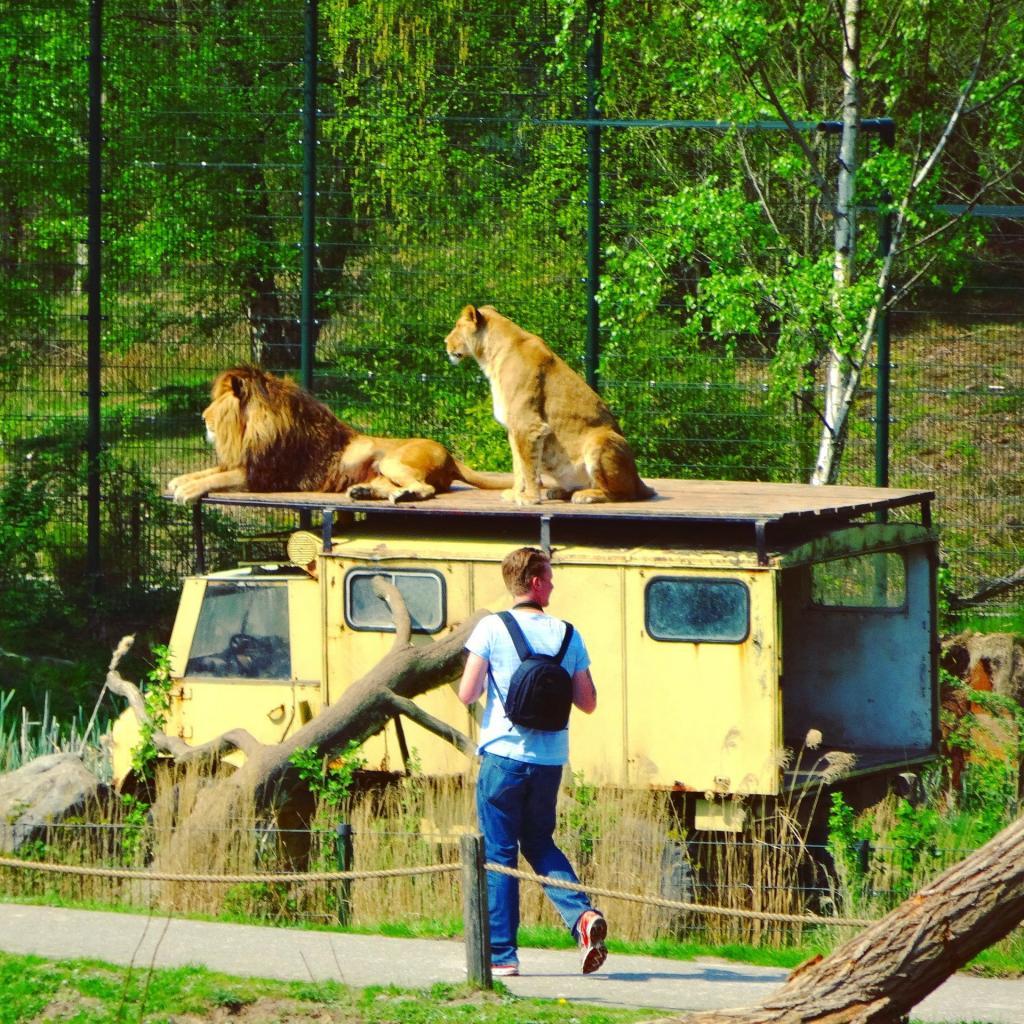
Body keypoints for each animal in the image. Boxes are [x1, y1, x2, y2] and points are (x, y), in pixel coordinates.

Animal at [166, 366, 512, 505]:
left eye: (218, 404)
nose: (202, 417)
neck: (253, 431)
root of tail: (452, 457)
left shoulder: (265, 476)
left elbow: (217, 477)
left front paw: (187, 490)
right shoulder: (246, 463)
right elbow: (209, 471)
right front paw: (179, 481)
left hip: (395, 461)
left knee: (425, 488)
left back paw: (405, 496)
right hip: (383, 469)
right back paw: (365, 492)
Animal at [442, 303, 651, 503]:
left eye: (457, 326)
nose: (445, 342)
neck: (490, 358)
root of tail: (638, 480)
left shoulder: (528, 425)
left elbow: (529, 468)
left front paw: (530, 498)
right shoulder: (514, 429)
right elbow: (518, 466)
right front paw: (515, 493)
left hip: (600, 440)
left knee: (623, 494)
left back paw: (585, 496)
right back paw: (559, 491)